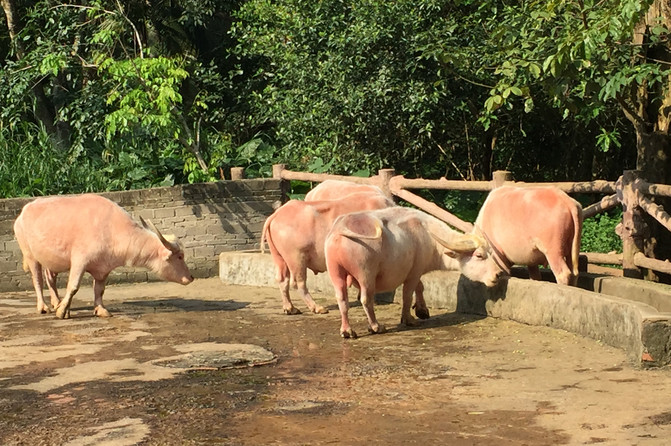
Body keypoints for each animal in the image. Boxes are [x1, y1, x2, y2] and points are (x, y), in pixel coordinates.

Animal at [13, 193, 194, 318]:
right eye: (180, 257)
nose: (191, 277)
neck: (112, 229)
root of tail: (22, 214)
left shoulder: (103, 268)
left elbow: (99, 289)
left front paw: (100, 310)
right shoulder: (79, 261)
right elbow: (73, 286)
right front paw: (62, 311)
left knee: (50, 277)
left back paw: (56, 302)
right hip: (30, 255)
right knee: (37, 279)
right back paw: (44, 307)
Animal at [262, 191, 394, 314]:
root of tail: (277, 214)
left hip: (279, 257)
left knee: (282, 279)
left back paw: (290, 308)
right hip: (296, 257)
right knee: (298, 282)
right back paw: (317, 308)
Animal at [324, 206, 462, 338]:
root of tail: (340, 227)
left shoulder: (414, 270)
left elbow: (420, 286)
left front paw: (422, 311)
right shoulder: (415, 271)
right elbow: (407, 295)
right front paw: (409, 319)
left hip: (335, 271)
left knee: (342, 299)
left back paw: (347, 331)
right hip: (365, 273)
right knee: (366, 299)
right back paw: (376, 327)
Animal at [436, 186, 584, 288]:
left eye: (479, 255)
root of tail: (567, 201)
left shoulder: (500, 257)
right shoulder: (531, 260)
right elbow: (535, 277)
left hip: (553, 251)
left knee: (563, 274)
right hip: (571, 250)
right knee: (575, 273)